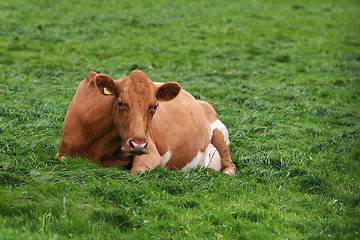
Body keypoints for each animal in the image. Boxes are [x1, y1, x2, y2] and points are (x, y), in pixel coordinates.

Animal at [55, 70, 236, 175]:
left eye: (154, 106)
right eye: (120, 103)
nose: (139, 144)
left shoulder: (151, 155)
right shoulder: (62, 153)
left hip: (220, 133)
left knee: (230, 164)